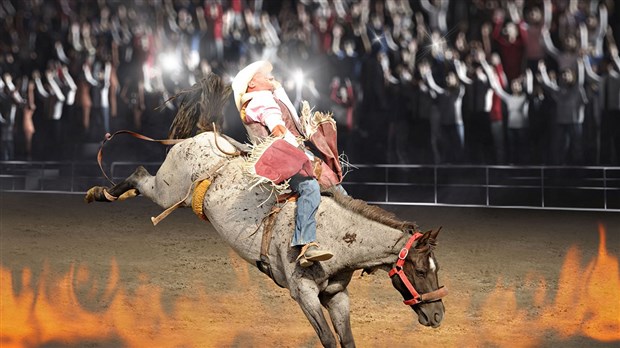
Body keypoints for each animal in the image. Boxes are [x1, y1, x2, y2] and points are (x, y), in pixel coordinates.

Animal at [85, 74, 448, 348]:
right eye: (419, 270)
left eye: (436, 268)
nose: (438, 315)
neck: (339, 235)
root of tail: (201, 135)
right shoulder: (304, 294)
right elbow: (328, 340)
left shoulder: (337, 296)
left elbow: (346, 340)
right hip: (167, 190)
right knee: (138, 175)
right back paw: (99, 193)